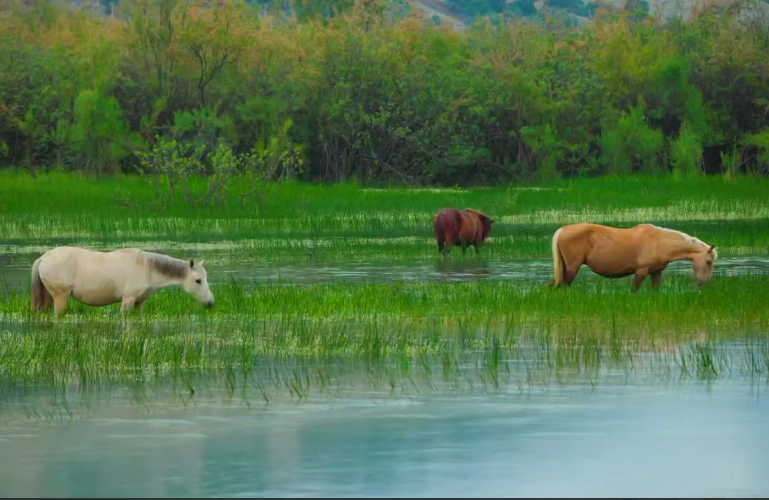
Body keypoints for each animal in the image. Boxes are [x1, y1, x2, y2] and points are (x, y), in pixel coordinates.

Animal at [31, 247, 214, 316]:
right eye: (198, 280)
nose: (210, 303)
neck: (147, 268)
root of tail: (43, 258)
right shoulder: (128, 300)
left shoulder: (139, 303)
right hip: (60, 297)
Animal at [548, 224, 716, 292]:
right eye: (709, 261)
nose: (703, 283)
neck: (659, 242)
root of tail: (562, 230)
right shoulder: (641, 271)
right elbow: (634, 289)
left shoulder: (656, 272)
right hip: (572, 267)